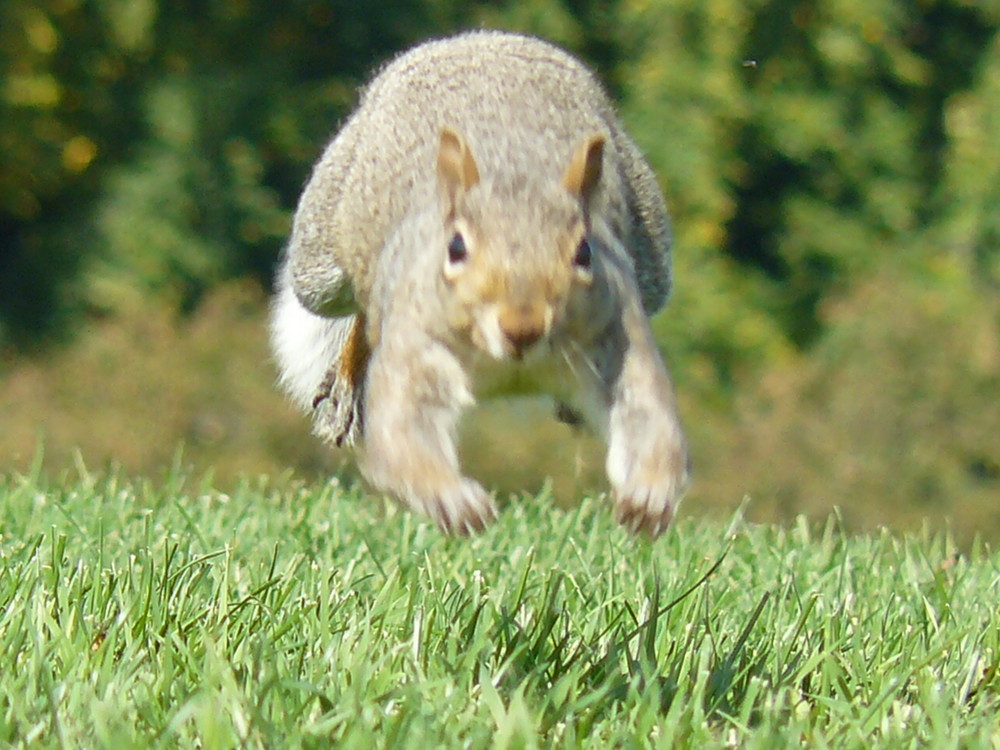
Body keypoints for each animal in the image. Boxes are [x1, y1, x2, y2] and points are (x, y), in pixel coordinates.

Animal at [270, 29, 692, 536]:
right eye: (455, 248)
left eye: (585, 252)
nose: (522, 326)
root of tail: (481, 39)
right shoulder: (416, 344)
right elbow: (403, 435)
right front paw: (452, 501)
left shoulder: (619, 333)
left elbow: (649, 416)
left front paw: (649, 495)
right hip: (321, 261)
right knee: (356, 309)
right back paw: (347, 387)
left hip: (651, 268)